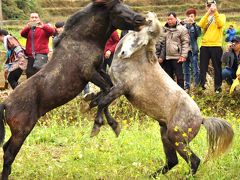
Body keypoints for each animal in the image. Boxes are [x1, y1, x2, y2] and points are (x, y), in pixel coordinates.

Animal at [0, 0, 145, 179]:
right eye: (118, 11)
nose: (141, 19)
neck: (83, 40)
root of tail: (5, 104)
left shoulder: (99, 69)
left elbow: (108, 89)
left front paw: (98, 108)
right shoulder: (89, 73)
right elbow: (106, 92)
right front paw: (99, 122)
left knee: (5, 149)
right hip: (22, 130)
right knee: (8, 155)